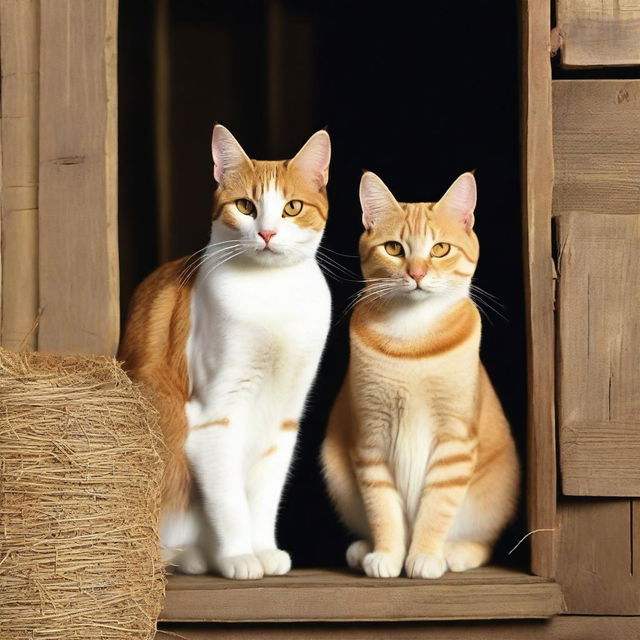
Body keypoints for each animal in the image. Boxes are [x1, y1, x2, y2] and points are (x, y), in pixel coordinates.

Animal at [118, 124, 332, 580]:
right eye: (246, 206)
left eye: (292, 208)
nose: (267, 233)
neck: (273, 297)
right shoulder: (213, 418)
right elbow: (230, 501)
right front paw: (237, 556)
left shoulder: (283, 421)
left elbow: (265, 497)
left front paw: (263, 549)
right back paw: (196, 557)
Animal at [320, 170, 520, 580]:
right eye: (394, 248)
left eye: (440, 249)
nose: (417, 273)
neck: (412, 342)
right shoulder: (371, 440)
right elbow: (383, 508)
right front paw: (387, 553)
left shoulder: (454, 441)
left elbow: (436, 508)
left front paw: (425, 554)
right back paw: (362, 549)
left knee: (483, 543)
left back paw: (456, 553)